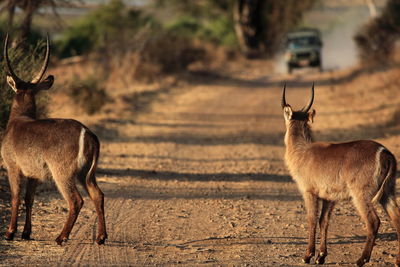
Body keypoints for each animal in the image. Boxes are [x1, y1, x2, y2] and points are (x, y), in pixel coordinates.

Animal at [1, 35, 107, 247]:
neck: (19, 119)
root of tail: (86, 132)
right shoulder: (33, 173)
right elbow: (29, 199)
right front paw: (26, 233)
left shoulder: (13, 167)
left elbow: (16, 197)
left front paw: (10, 233)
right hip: (86, 173)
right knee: (98, 195)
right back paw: (101, 238)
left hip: (63, 173)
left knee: (76, 200)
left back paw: (61, 237)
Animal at [282, 84, 400, 267]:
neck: (302, 150)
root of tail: (384, 152)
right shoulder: (329, 197)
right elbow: (324, 222)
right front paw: (321, 256)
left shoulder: (309, 192)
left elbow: (312, 219)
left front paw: (308, 255)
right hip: (387, 192)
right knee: (397, 219)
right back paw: (397, 260)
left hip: (362, 195)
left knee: (374, 222)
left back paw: (361, 260)